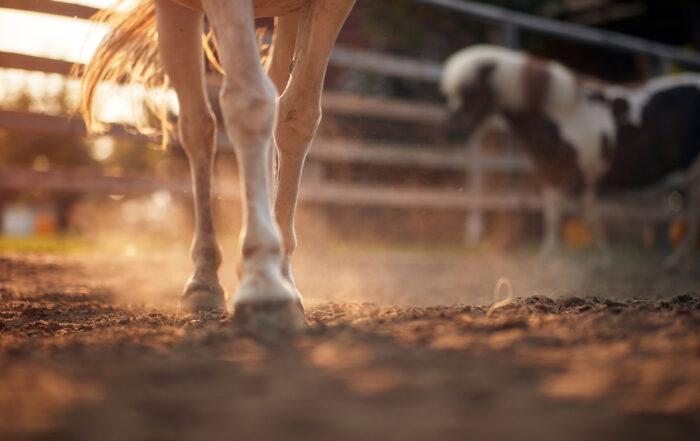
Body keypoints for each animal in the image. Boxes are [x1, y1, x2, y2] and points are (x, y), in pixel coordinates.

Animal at [77, 0, 356, 331]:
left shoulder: (331, 7)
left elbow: (298, 115)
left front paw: (280, 277)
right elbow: (249, 101)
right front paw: (264, 284)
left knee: (272, 93)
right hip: (177, 14)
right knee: (198, 126)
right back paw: (204, 282)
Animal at [441, 45, 700, 269]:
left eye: (469, 91)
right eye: (452, 94)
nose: (449, 133)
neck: (561, 116)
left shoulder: (582, 176)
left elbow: (588, 216)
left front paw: (602, 259)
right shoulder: (552, 175)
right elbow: (553, 215)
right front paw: (546, 258)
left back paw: (676, 260)